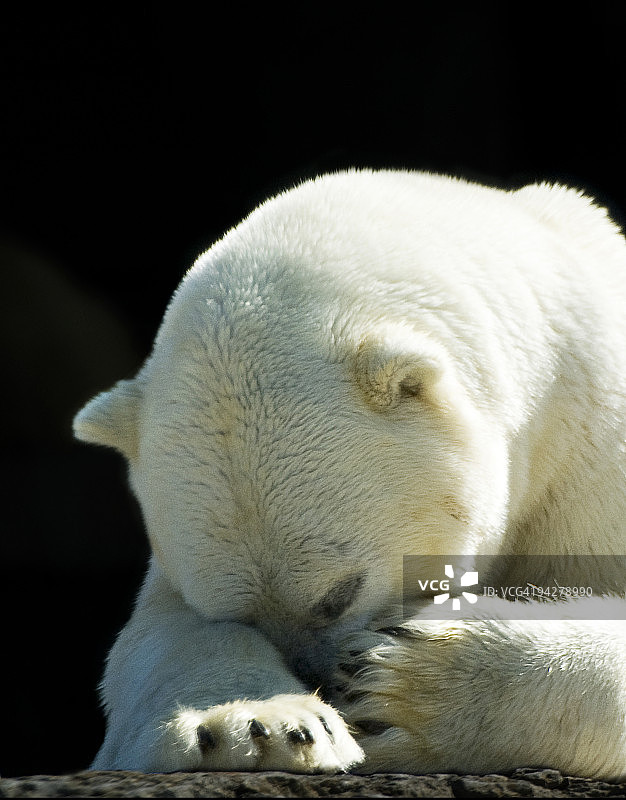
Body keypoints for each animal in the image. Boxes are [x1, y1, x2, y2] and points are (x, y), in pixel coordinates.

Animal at [74, 170, 626, 780]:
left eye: (339, 594)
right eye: (238, 614)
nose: (323, 683)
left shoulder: (594, 464)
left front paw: (406, 681)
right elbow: (154, 641)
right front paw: (261, 722)